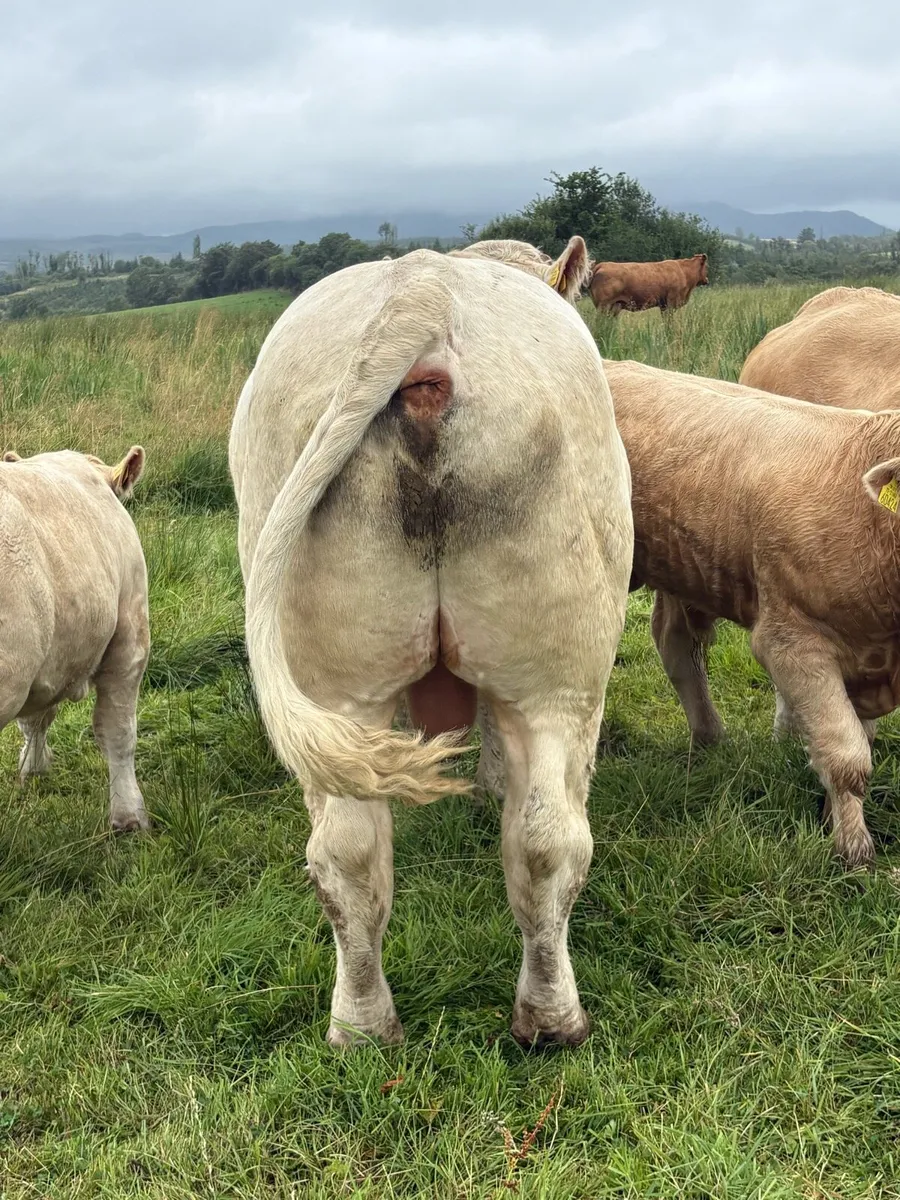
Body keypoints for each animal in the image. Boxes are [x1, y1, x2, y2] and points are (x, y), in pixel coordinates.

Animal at [228, 236, 633, 1048]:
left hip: (340, 681)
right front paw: (488, 785)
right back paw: (554, 1018)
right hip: (564, 675)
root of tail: (422, 289)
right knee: (549, 839)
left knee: (351, 854)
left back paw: (362, 1025)